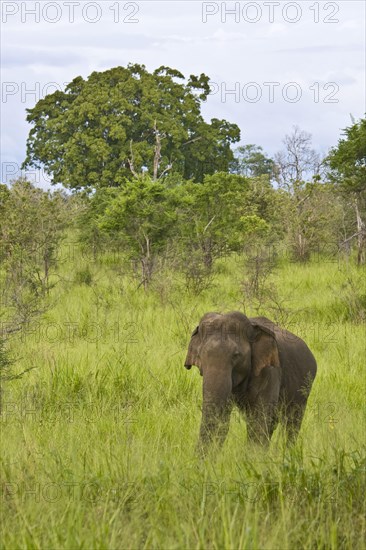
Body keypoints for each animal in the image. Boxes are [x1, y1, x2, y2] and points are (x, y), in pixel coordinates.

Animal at [184, 312, 316, 450]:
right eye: (200, 355)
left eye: (236, 355)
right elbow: (224, 418)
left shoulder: (269, 371)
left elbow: (260, 419)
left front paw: (254, 455)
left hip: (304, 387)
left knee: (291, 423)